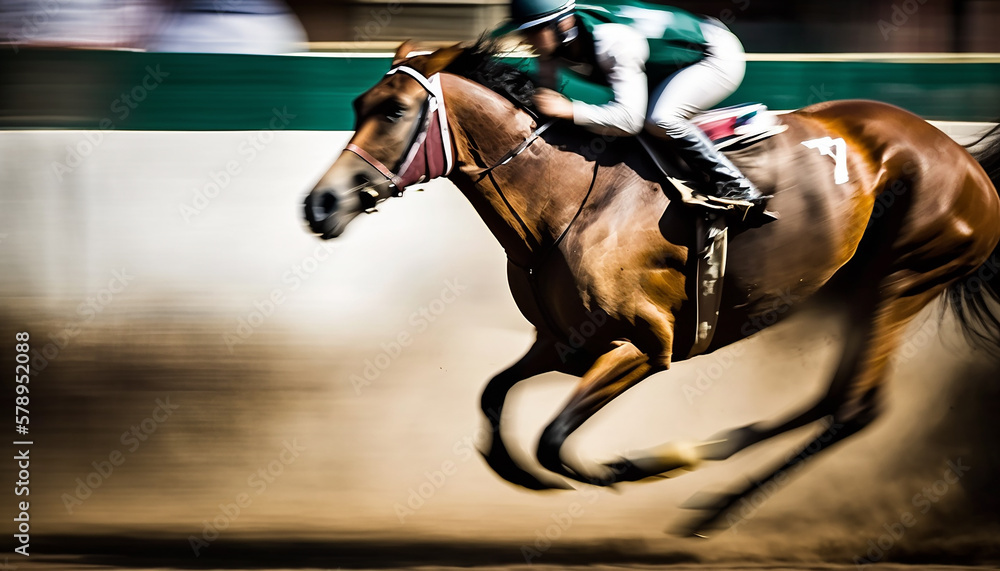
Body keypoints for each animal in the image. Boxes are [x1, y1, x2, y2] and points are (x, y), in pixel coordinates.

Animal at [303, 40, 1000, 535]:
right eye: (358, 106)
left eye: (394, 110)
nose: (320, 204)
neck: (565, 201)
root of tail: (966, 160)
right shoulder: (562, 344)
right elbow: (493, 397)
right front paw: (522, 474)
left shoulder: (645, 346)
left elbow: (554, 439)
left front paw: (638, 465)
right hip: (860, 284)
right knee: (835, 400)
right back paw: (719, 476)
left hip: (904, 278)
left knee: (855, 409)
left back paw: (712, 492)